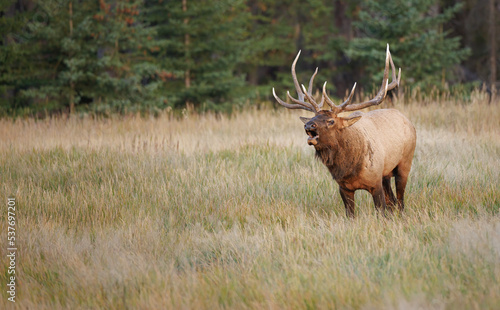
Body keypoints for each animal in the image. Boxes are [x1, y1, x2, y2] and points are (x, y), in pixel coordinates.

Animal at [272, 45, 416, 218]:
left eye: (331, 121)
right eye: (314, 116)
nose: (308, 125)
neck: (349, 169)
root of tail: (407, 120)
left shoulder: (375, 182)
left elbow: (381, 212)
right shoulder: (344, 187)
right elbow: (351, 215)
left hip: (404, 163)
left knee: (400, 201)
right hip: (386, 173)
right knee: (393, 202)